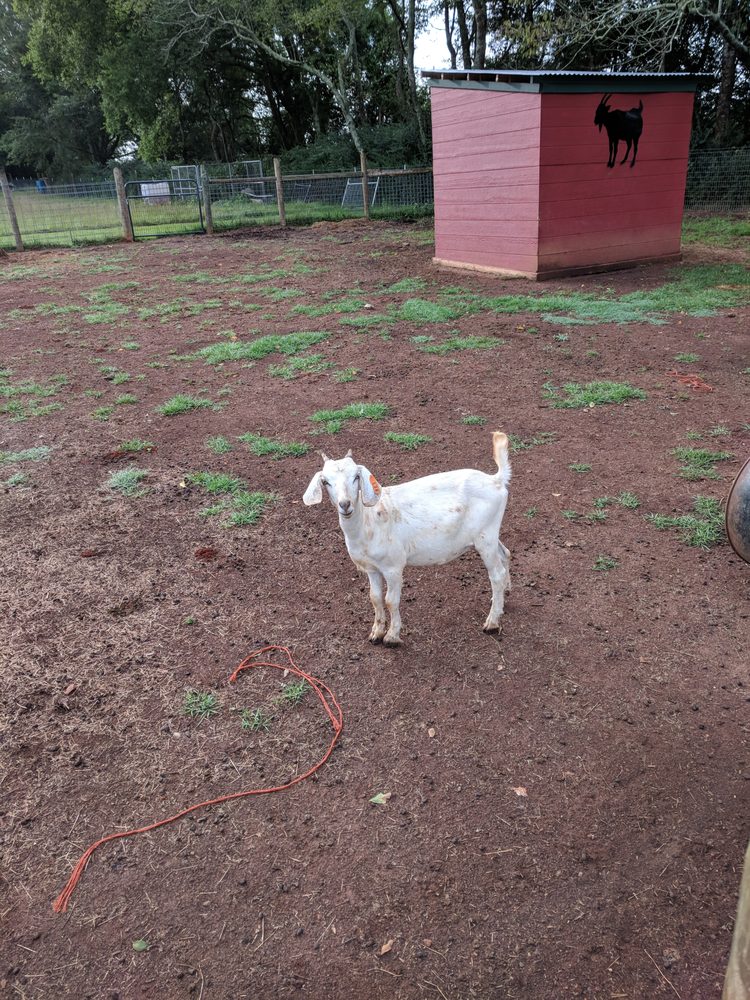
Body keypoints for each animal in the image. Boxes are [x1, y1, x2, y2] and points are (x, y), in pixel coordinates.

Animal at [302, 431, 511, 646]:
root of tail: (496, 480)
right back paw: (503, 597)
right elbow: (375, 598)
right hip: (490, 534)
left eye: (356, 477)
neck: (368, 521)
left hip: (485, 536)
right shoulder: (371, 568)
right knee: (505, 554)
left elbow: (390, 600)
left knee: (496, 574)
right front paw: (376, 632)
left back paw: (492, 622)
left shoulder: (393, 566)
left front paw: (392, 636)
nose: (345, 504)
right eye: (325, 481)